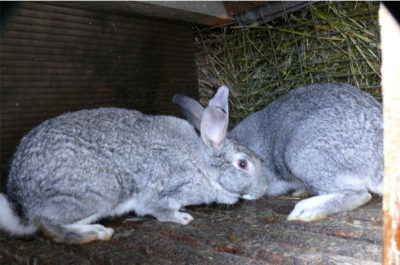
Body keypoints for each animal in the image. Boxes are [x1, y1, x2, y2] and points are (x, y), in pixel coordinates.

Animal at [0, 85, 268, 242]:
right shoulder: (162, 189)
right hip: (99, 192)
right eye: (243, 164)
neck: (201, 163)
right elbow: (156, 209)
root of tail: (22, 202)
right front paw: (182, 218)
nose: (264, 188)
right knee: (48, 222)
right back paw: (96, 233)